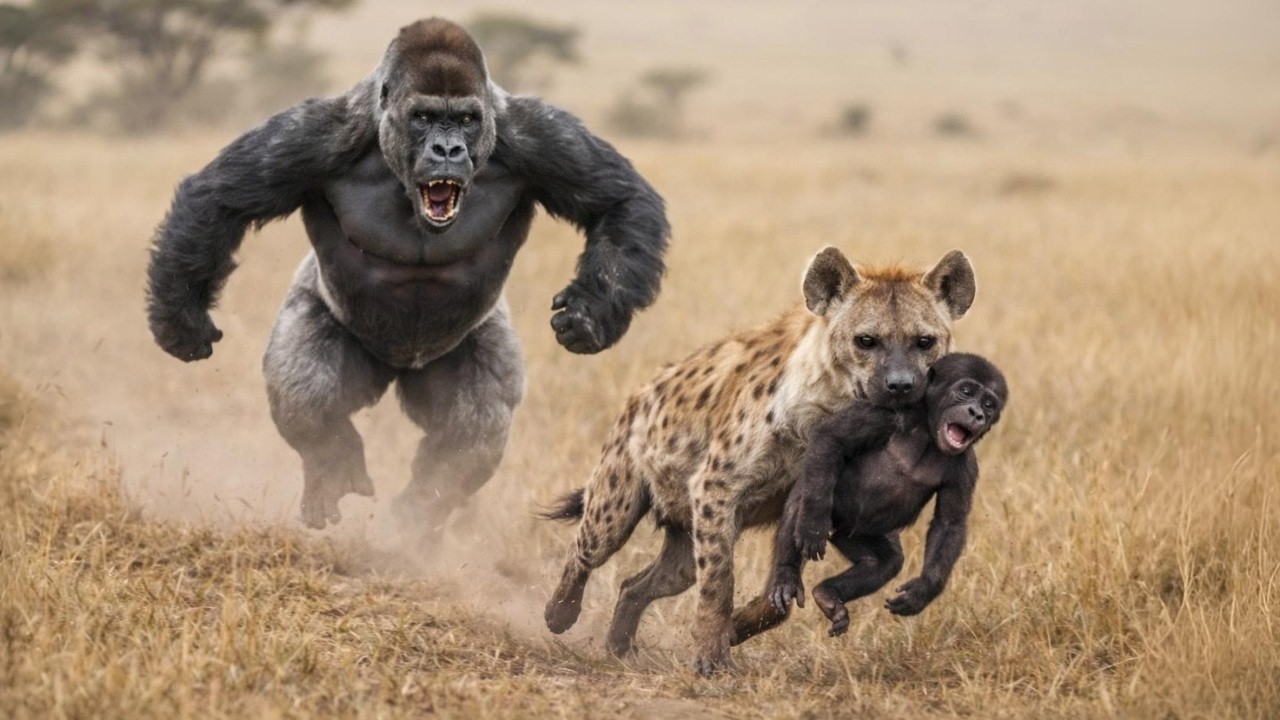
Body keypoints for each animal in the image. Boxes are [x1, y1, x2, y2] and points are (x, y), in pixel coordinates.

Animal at [145, 18, 670, 532]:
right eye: (423, 117)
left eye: (465, 120)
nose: (448, 148)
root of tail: (397, 366)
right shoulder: (315, 134)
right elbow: (220, 199)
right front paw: (180, 319)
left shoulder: (538, 134)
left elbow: (619, 200)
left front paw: (592, 312)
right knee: (304, 386)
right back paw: (333, 466)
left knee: (476, 426)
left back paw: (419, 512)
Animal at [731, 353, 1008, 643]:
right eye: (966, 391)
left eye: (989, 404)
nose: (977, 413)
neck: (928, 432)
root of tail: (837, 529)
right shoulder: (885, 414)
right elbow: (831, 439)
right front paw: (812, 525)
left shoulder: (965, 466)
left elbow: (948, 523)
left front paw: (924, 589)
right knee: (800, 506)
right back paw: (787, 574)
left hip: (853, 535)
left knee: (884, 563)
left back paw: (828, 594)